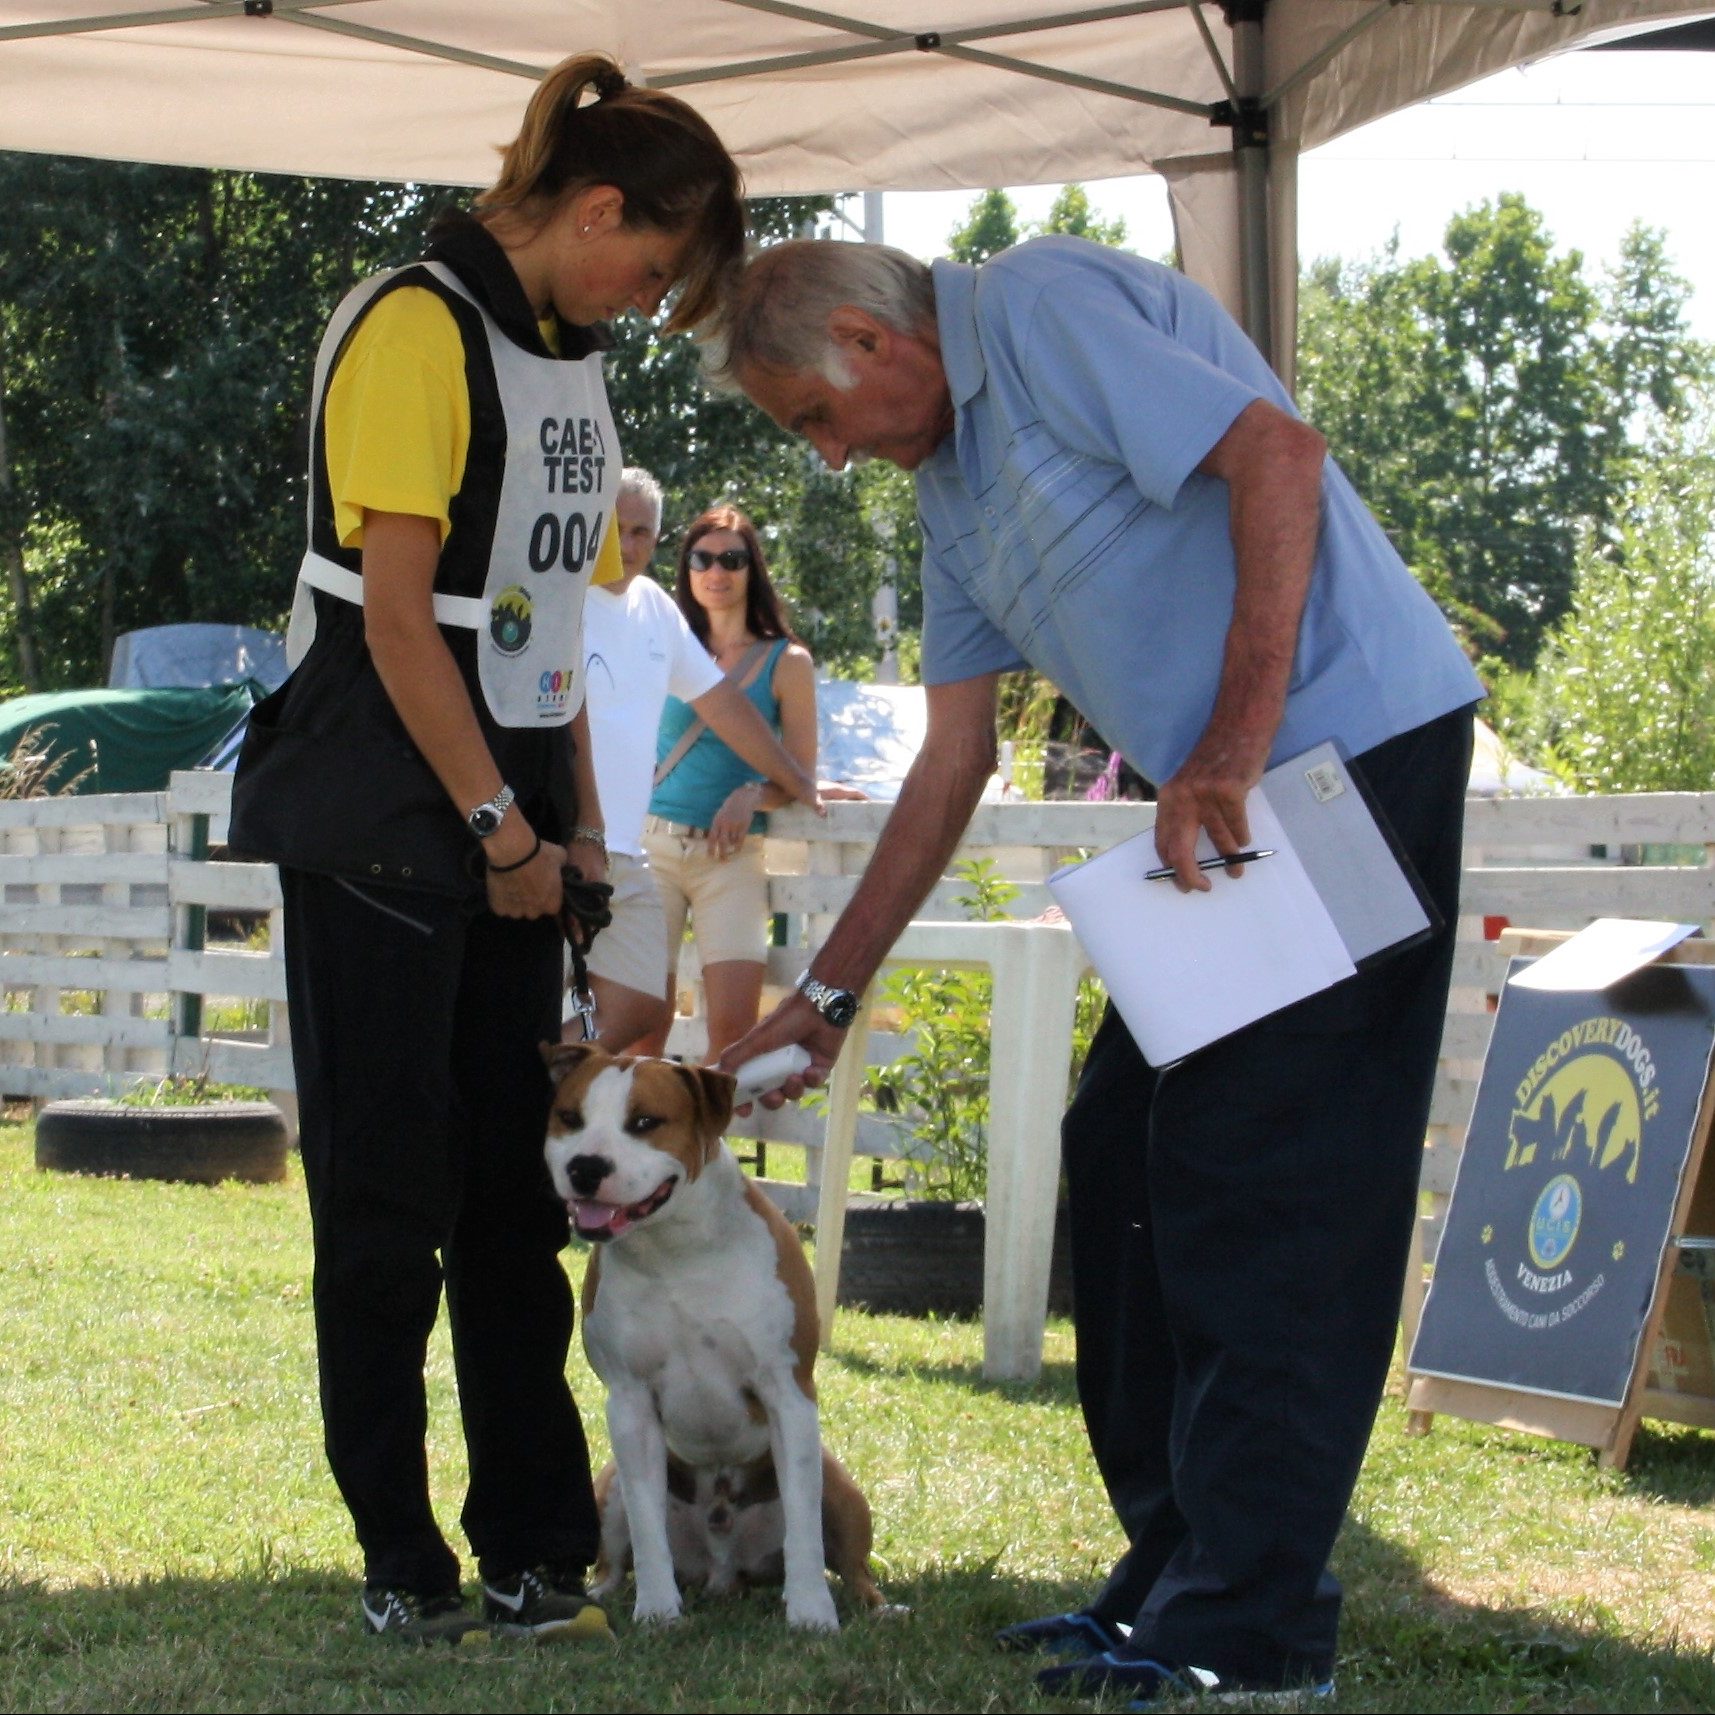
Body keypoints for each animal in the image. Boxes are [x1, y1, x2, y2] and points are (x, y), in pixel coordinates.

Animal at [541, 1035, 891, 1625]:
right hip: (607, 1487)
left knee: (854, 1566)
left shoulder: (787, 1392)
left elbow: (804, 1529)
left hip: (841, 1490)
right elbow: (647, 1527)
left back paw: (879, 1607)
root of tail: (724, 1570)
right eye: (570, 1117)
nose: (586, 1166)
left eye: (645, 1121)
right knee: (612, 1558)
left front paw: (811, 1613)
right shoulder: (630, 1403)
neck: (676, 1251)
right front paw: (657, 1610)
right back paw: (598, 1597)